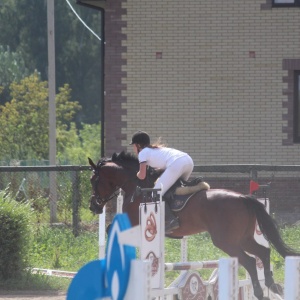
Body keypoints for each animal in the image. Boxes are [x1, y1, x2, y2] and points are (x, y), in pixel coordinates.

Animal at [88, 152, 298, 300]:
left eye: (93, 180)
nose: (93, 206)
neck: (135, 185)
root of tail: (243, 198)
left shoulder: (135, 223)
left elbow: (111, 230)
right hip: (243, 238)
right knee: (263, 252)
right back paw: (271, 286)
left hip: (226, 241)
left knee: (250, 261)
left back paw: (260, 292)